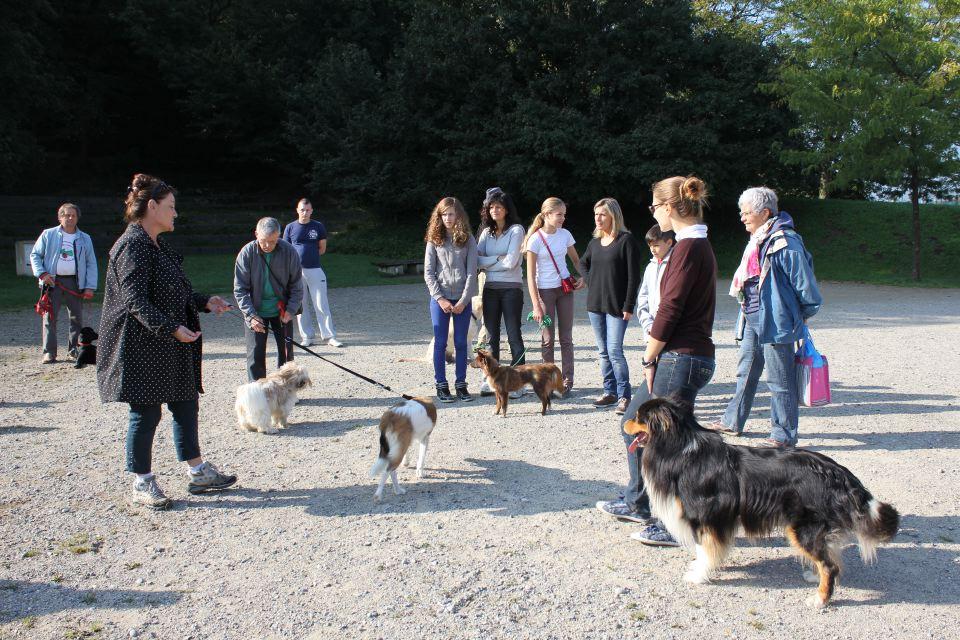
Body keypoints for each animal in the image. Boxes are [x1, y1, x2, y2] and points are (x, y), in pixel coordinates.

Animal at [624, 398, 900, 608]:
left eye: (638, 417)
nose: (624, 421)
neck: (678, 446)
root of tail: (837, 472)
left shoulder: (705, 516)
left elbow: (704, 549)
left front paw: (698, 574)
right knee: (829, 557)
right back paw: (814, 575)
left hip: (803, 527)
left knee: (830, 566)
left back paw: (820, 599)